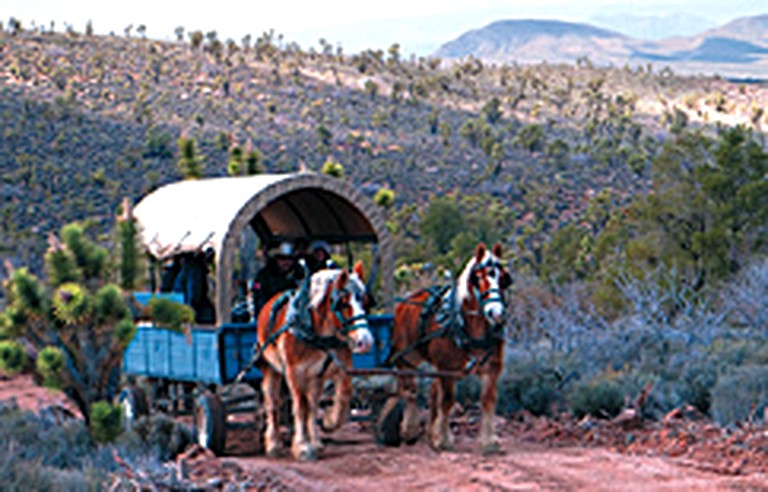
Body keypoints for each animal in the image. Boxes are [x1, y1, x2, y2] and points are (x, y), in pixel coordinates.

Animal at [256, 264, 374, 460]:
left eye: (364, 302)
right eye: (343, 304)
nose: (364, 341)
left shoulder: (338, 369)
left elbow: (344, 394)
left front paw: (329, 422)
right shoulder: (294, 373)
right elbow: (300, 407)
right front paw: (302, 446)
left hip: (316, 377)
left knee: (312, 404)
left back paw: (316, 441)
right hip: (272, 369)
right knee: (273, 403)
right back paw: (274, 444)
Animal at [392, 242, 512, 454]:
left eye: (504, 279)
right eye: (478, 278)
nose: (496, 313)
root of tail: (405, 302)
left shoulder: (491, 368)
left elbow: (488, 401)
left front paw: (489, 441)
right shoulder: (447, 368)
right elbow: (447, 401)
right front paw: (444, 440)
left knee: (430, 390)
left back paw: (429, 432)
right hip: (407, 358)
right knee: (410, 389)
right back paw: (410, 429)